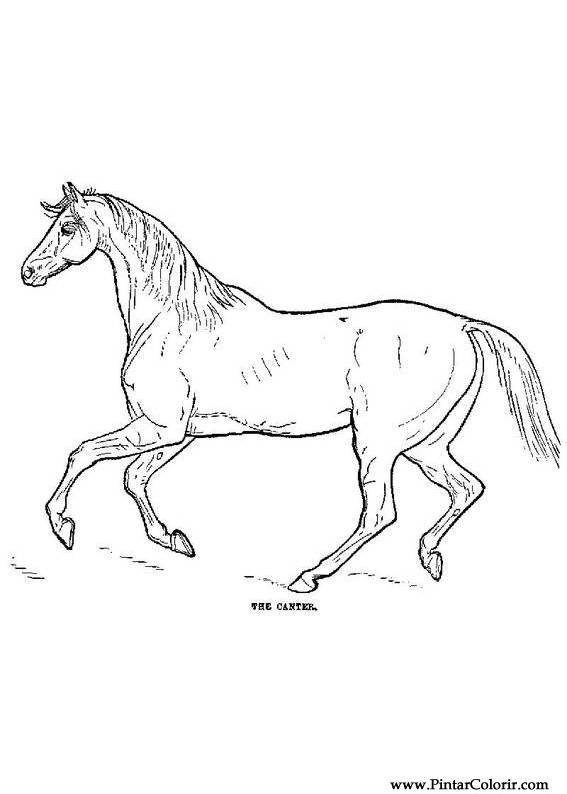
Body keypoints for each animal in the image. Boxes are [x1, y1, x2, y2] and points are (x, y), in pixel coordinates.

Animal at [21, 183, 560, 592]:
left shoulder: (159, 427)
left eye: (66, 227)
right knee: (467, 488)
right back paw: (429, 558)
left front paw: (62, 526)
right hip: (426, 444)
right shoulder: (182, 432)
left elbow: (84, 453)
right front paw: (174, 539)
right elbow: (133, 477)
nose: (27, 271)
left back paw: (308, 576)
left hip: (378, 443)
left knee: (380, 513)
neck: (174, 321)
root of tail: (463, 327)